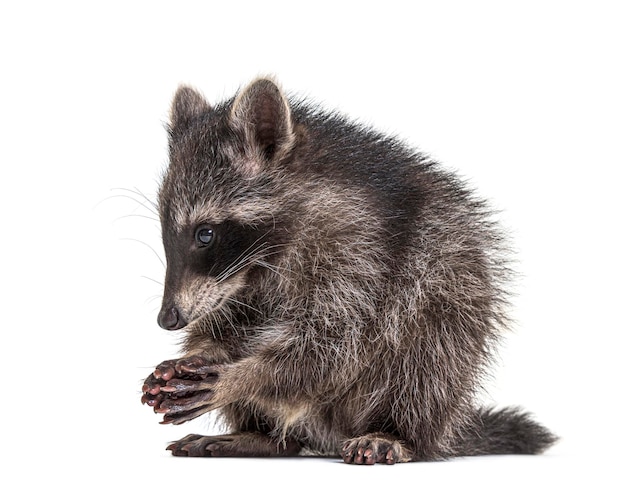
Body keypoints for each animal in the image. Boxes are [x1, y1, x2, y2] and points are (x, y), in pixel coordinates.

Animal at [140, 78, 552, 464]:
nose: (167, 319)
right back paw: (261, 436)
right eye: (165, 232)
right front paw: (203, 353)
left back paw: (396, 432)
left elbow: (332, 347)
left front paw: (242, 378)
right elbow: (227, 324)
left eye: (205, 234)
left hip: (453, 292)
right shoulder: (234, 284)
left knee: (424, 358)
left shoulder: (360, 252)